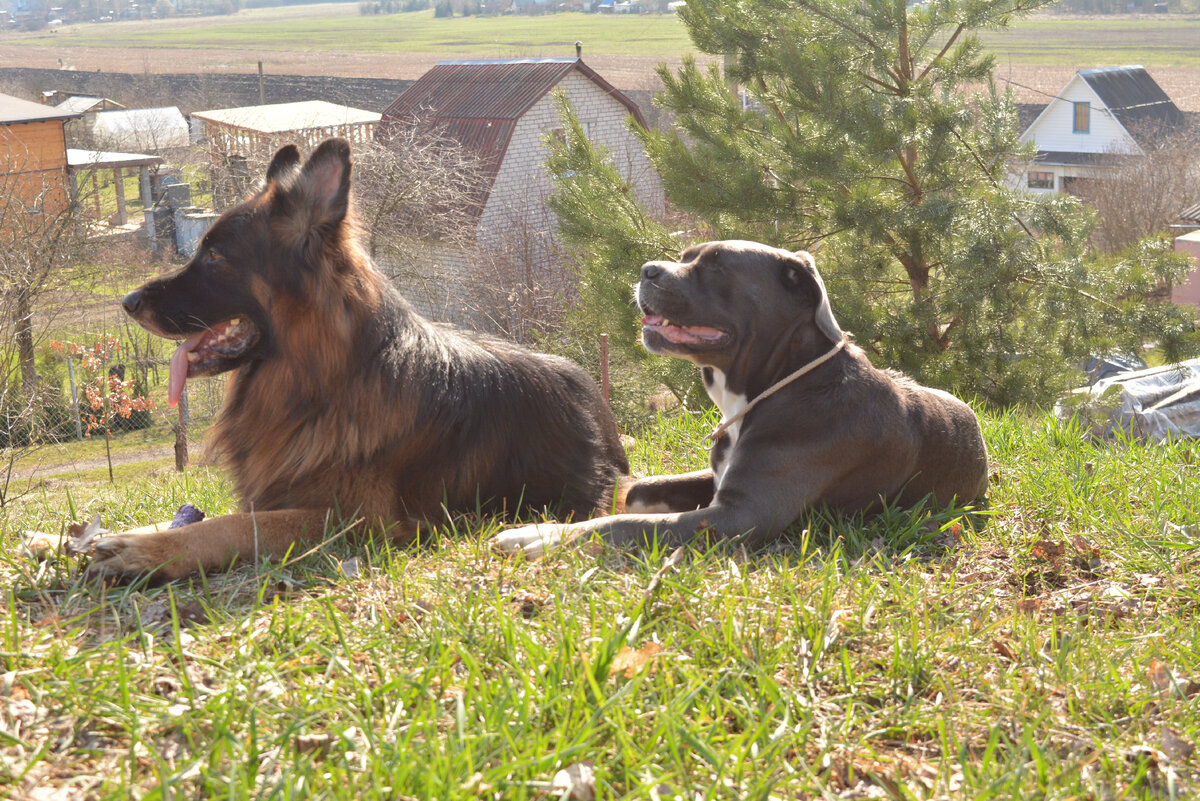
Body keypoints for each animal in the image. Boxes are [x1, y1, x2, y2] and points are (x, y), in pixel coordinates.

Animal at [84, 136, 628, 575]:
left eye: (215, 255)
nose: (128, 302)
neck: (324, 384)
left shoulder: (355, 519)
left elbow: (233, 525)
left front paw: (148, 551)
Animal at [492, 239, 988, 556]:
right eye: (686, 257)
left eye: (716, 265)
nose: (646, 270)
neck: (775, 386)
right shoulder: (718, 483)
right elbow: (640, 493)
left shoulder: (739, 515)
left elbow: (626, 524)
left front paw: (537, 535)